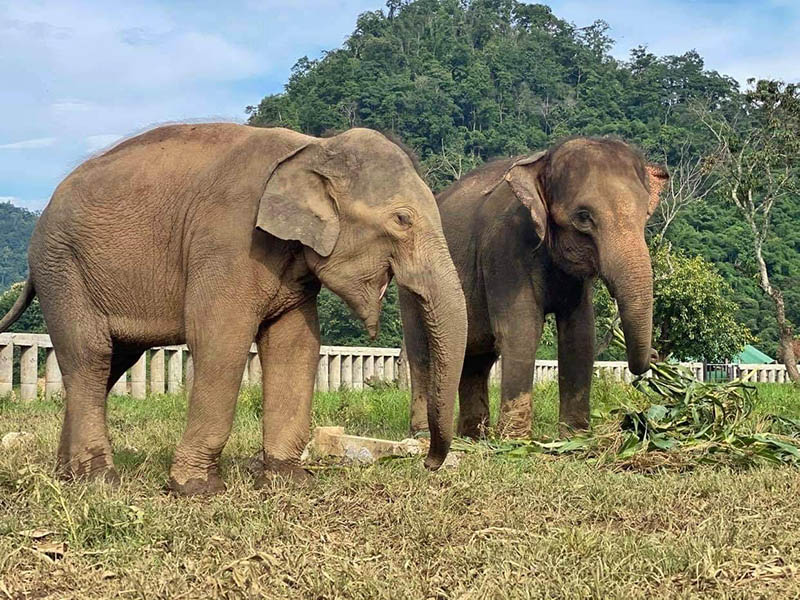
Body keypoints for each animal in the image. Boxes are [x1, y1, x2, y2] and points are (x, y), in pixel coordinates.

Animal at [0, 124, 468, 494]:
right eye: (403, 220)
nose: (428, 461)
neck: (313, 145)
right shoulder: (230, 242)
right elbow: (220, 338)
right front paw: (195, 488)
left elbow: (296, 345)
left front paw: (288, 481)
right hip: (63, 267)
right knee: (91, 356)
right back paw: (99, 480)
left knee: (111, 363)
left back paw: (68, 476)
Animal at [406, 137, 668, 440]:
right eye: (584, 217)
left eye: (645, 214)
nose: (656, 355)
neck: (542, 161)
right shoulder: (504, 248)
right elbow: (521, 328)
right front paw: (515, 440)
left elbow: (580, 333)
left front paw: (574, 437)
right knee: (423, 352)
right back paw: (424, 435)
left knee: (477, 360)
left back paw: (474, 437)